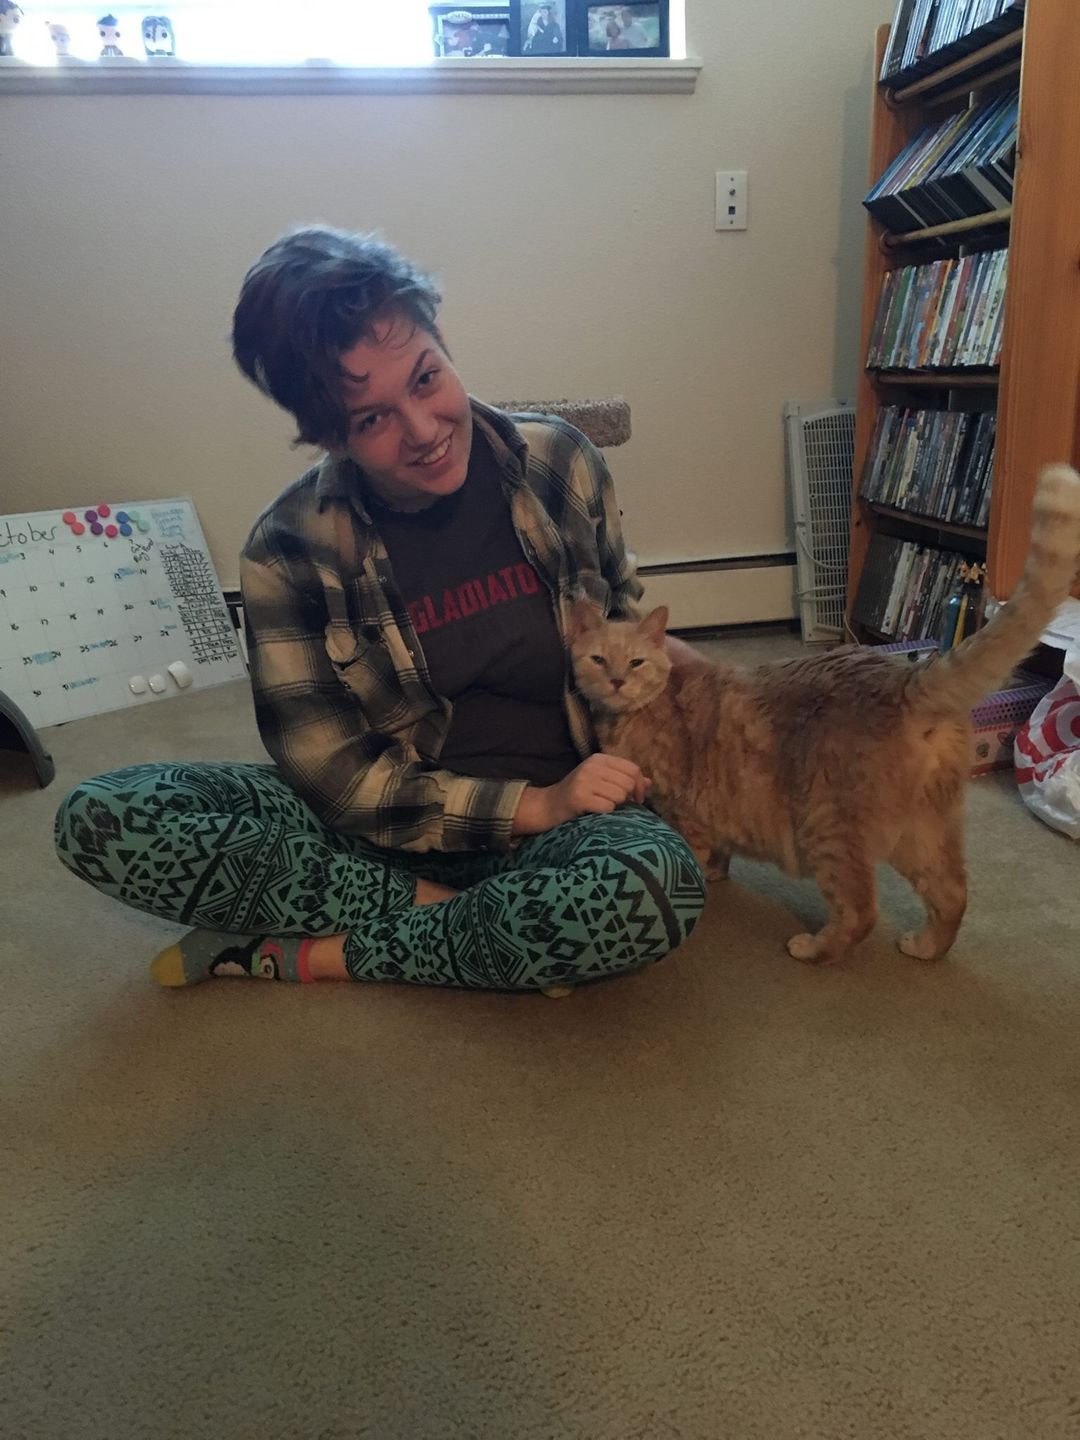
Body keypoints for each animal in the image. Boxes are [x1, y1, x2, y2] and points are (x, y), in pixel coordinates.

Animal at [570, 463, 1080, 964]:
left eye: (635, 662)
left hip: (828, 830)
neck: (640, 713)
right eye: (598, 660)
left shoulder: (683, 813)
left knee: (860, 912)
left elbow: (697, 857)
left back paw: (812, 948)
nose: (617, 681)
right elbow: (719, 853)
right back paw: (925, 947)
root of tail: (905, 678)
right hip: (922, 833)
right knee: (952, 894)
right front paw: (717, 871)